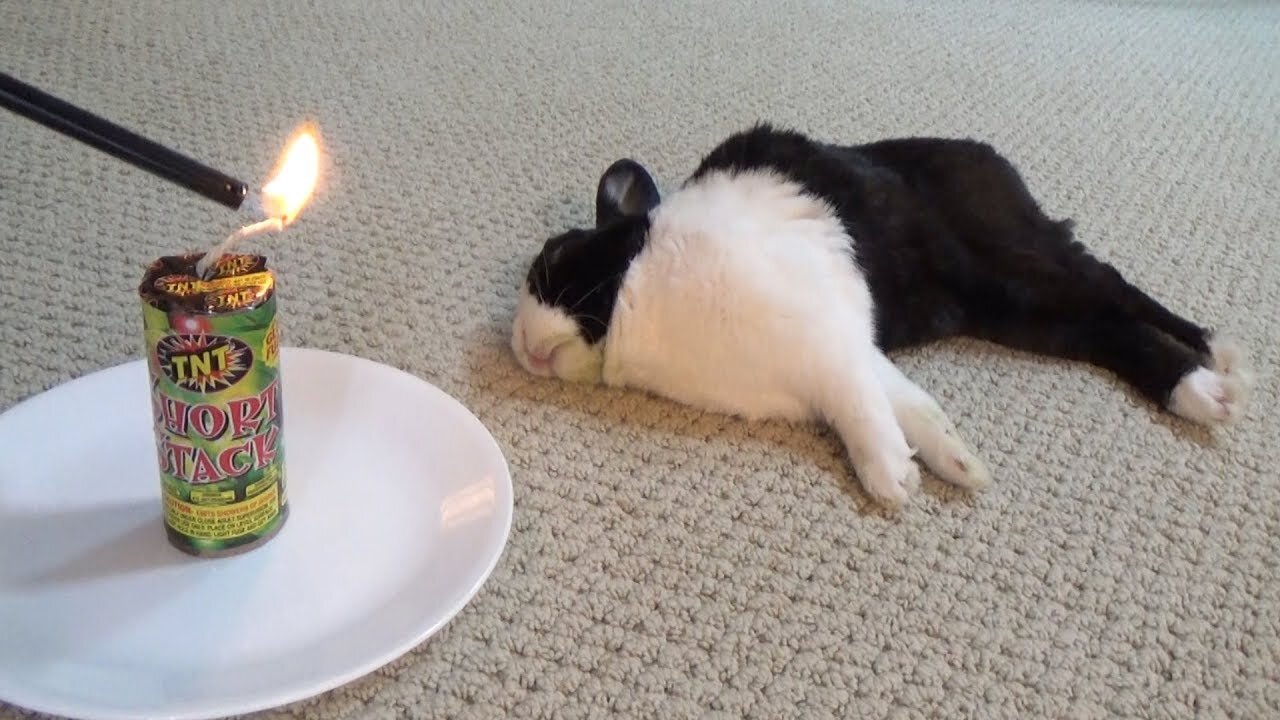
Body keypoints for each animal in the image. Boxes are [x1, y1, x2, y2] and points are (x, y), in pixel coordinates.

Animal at [506, 121, 1249, 504]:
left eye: (554, 258)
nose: (517, 344)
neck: (640, 285)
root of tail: (997, 166)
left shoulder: (827, 341)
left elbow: (859, 405)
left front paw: (893, 478)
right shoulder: (849, 350)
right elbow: (906, 402)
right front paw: (957, 465)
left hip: (1011, 261)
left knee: (1113, 290)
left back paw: (1213, 367)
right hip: (1020, 312)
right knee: (1106, 332)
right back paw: (1195, 392)